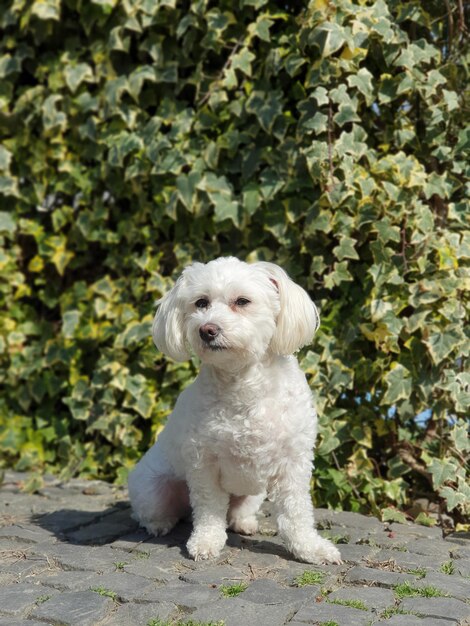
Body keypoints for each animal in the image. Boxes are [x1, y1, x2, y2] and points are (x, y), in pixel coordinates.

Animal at [129, 256, 342, 564]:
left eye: (242, 301)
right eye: (201, 303)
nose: (207, 329)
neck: (244, 382)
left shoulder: (293, 464)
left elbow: (296, 513)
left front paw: (310, 548)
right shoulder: (203, 464)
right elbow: (209, 511)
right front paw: (206, 542)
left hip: (255, 492)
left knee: (237, 511)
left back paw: (244, 522)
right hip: (152, 488)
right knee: (153, 512)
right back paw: (160, 524)